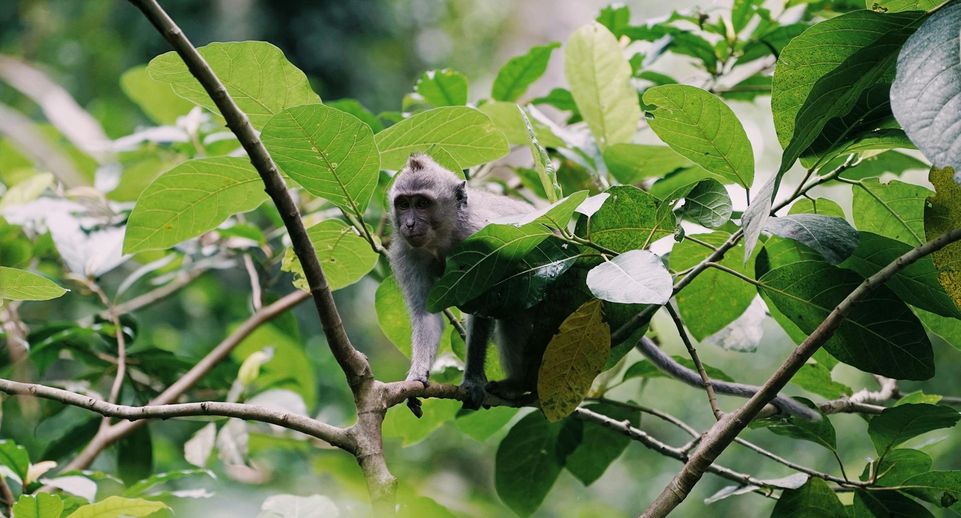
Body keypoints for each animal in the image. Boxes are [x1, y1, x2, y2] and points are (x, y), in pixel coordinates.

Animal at [388, 154, 816, 422]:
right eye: (403, 204)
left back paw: (519, 384)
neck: (444, 238)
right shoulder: (406, 254)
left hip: (571, 290)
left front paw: (473, 380)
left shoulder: (480, 241)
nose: (408, 224)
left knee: (521, 313)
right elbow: (427, 316)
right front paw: (418, 377)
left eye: (422, 204)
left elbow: (485, 305)